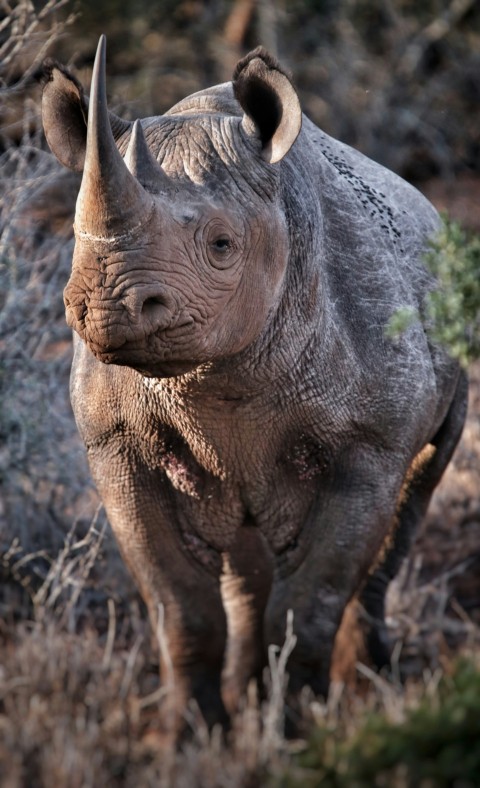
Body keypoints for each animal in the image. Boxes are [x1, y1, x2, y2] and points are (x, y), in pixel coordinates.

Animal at [42, 36, 467, 731]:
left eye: (221, 245)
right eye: (76, 239)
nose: (105, 309)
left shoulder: (370, 446)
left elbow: (312, 598)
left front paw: (299, 731)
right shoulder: (115, 445)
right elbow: (180, 605)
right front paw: (191, 735)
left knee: (417, 493)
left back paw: (374, 685)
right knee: (242, 549)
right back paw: (247, 698)